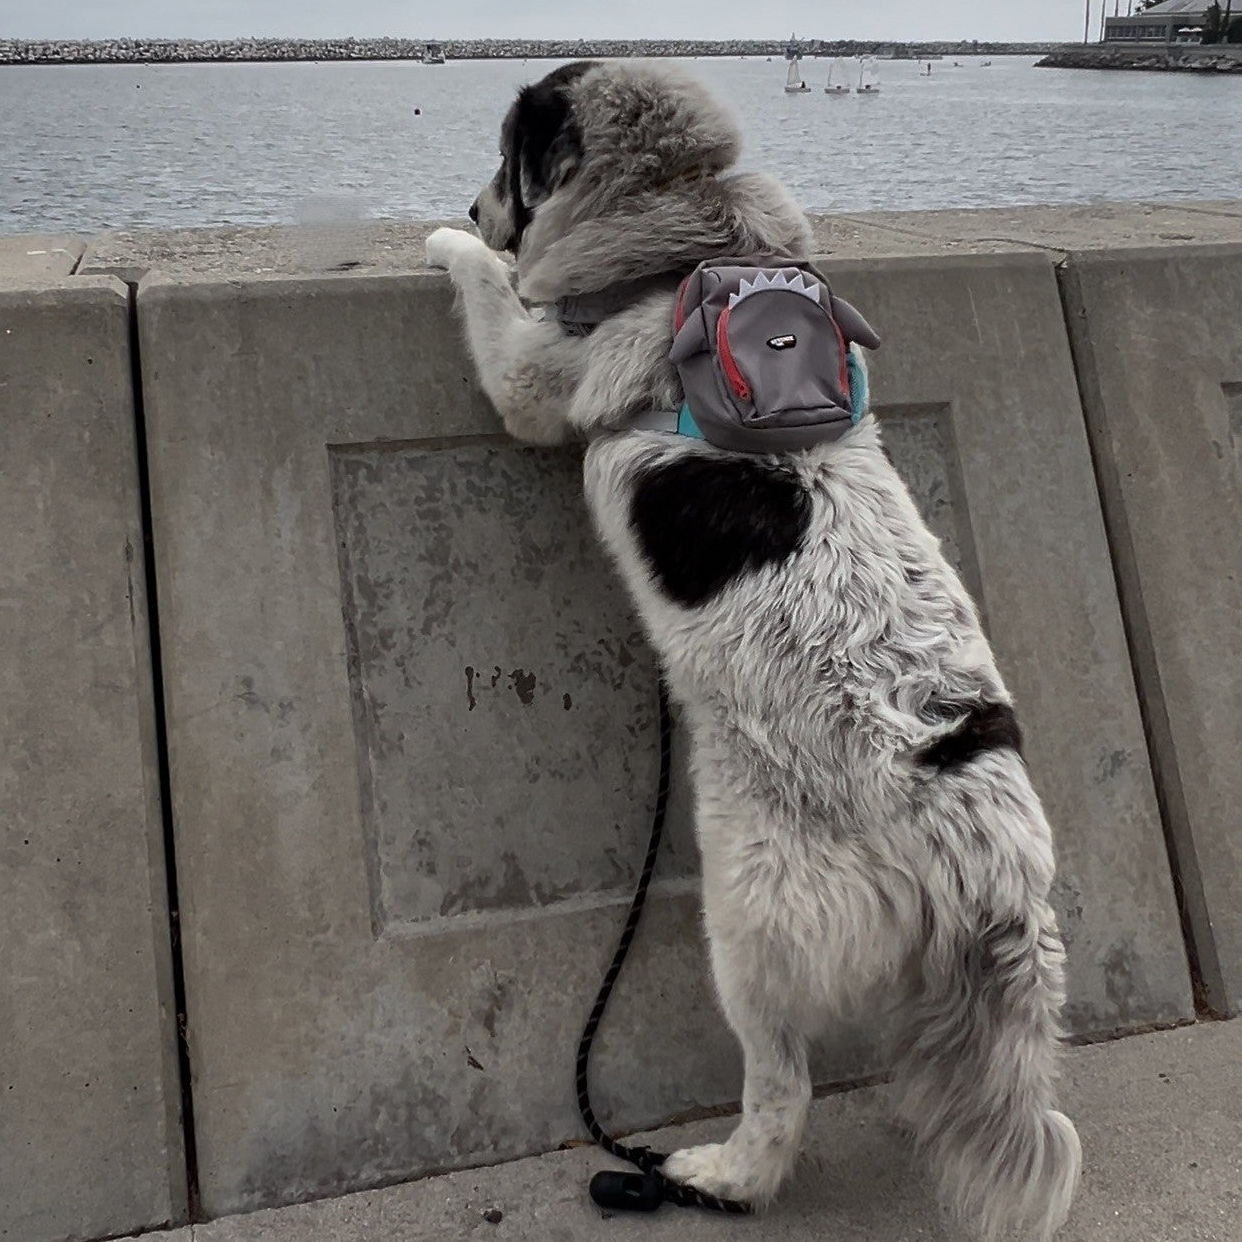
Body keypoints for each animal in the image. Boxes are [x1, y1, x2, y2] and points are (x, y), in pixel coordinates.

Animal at [424, 60, 1078, 1242]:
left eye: (505, 159)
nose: (469, 202)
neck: (677, 236)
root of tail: (985, 868)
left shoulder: (535, 377)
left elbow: (495, 299)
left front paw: (446, 243)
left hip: (750, 903)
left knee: (782, 1088)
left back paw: (716, 1175)